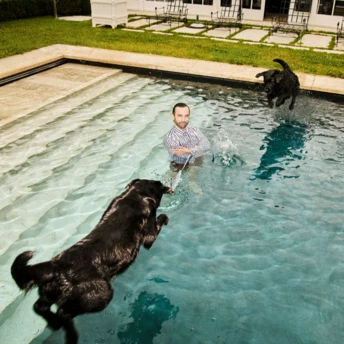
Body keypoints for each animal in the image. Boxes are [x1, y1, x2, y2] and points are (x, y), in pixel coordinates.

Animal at [11, 180, 172, 344]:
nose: (169, 188)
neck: (135, 195)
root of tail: (56, 265)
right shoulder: (149, 231)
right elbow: (157, 224)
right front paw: (164, 217)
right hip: (100, 294)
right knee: (64, 312)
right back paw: (70, 334)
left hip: (51, 292)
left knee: (39, 307)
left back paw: (54, 323)